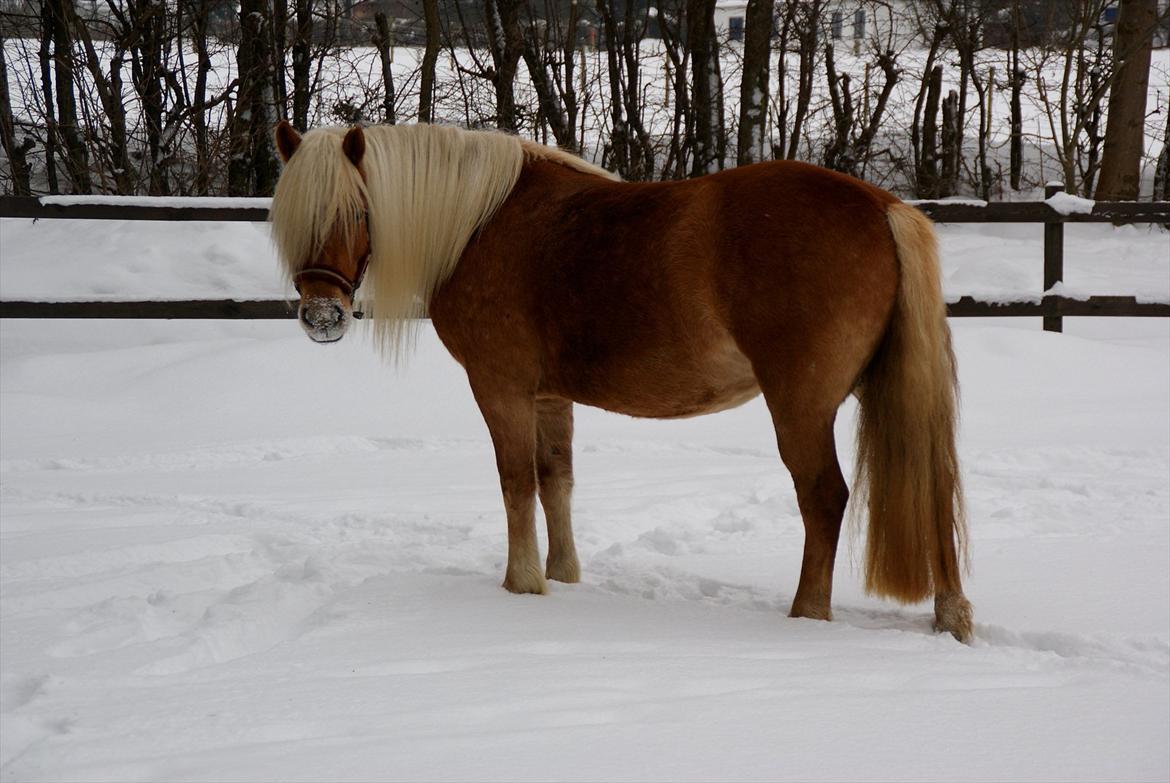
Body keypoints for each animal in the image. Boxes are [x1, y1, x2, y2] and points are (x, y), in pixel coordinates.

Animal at [269, 120, 973, 641]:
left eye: (356, 210)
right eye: (293, 217)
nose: (323, 317)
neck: (480, 224)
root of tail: (883, 206)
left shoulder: (501, 388)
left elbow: (516, 482)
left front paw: (521, 584)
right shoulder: (550, 395)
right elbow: (556, 479)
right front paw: (564, 576)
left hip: (800, 405)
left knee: (824, 498)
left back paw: (807, 617)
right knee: (931, 486)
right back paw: (951, 617)